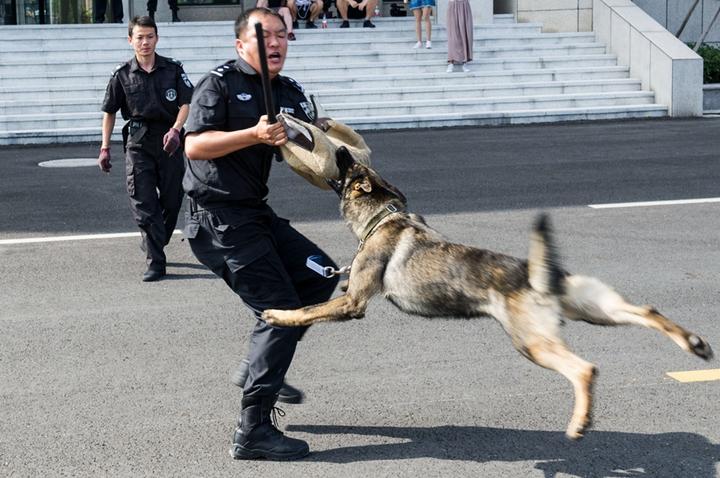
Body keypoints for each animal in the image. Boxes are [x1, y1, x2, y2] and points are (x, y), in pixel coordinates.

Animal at [264, 148, 716, 438]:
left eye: (351, 167)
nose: (340, 147)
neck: (383, 217)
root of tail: (538, 274)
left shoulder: (351, 303)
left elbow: (306, 309)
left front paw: (277, 314)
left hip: (531, 342)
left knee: (585, 369)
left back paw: (579, 423)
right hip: (593, 308)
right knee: (647, 310)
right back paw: (694, 344)